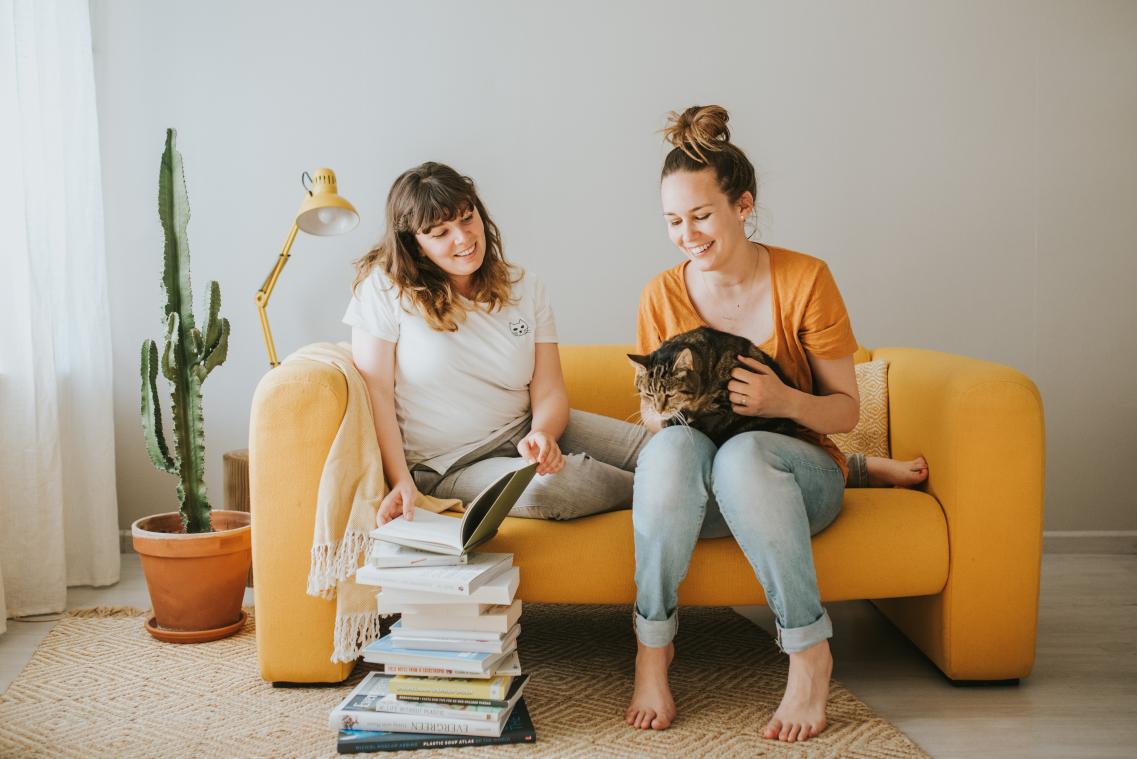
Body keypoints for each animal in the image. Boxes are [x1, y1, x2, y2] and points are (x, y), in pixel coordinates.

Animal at [632, 324, 800, 445]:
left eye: (670, 394)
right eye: (649, 394)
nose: (659, 411)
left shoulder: (727, 401)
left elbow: (712, 418)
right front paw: (673, 419)